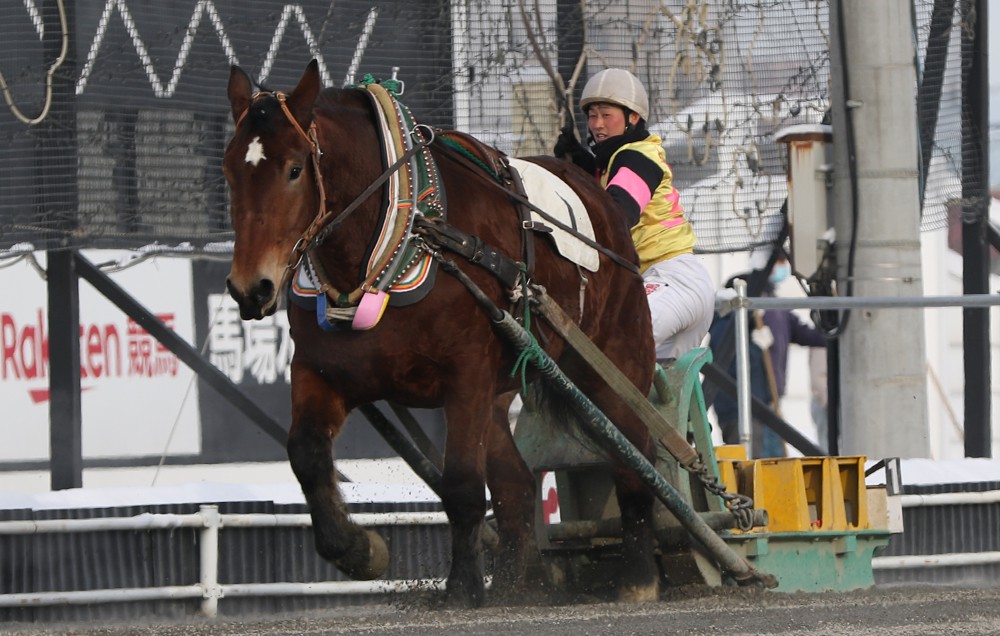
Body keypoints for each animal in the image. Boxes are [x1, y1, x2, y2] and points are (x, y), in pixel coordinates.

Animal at [222, 59, 656, 608]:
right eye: (230, 169)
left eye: (295, 169)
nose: (249, 287)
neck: (403, 236)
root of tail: (601, 201)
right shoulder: (322, 370)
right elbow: (305, 454)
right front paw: (358, 549)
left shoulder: (466, 374)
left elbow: (463, 484)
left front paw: (463, 584)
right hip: (503, 391)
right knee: (515, 482)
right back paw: (521, 580)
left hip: (612, 360)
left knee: (636, 455)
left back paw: (639, 574)